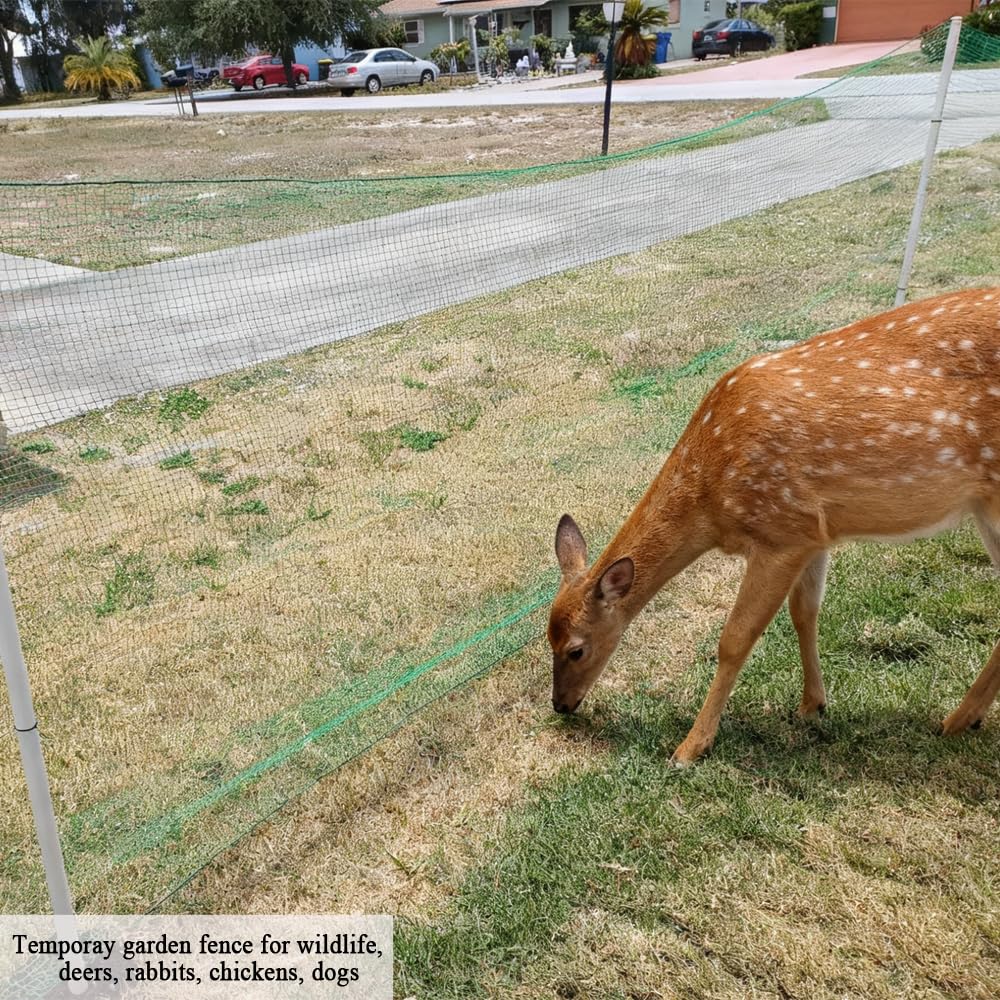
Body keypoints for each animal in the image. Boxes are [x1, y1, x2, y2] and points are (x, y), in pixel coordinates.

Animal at [548, 287, 1000, 765]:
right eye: (546, 637)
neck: (711, 500)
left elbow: (734, 638)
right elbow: (805, 613)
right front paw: (812, 705)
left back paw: (955, 719)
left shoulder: (780, 530)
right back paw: (963, 718)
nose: (560, 705)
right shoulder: (813, 534)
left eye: (576, 648)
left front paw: (690, 746)